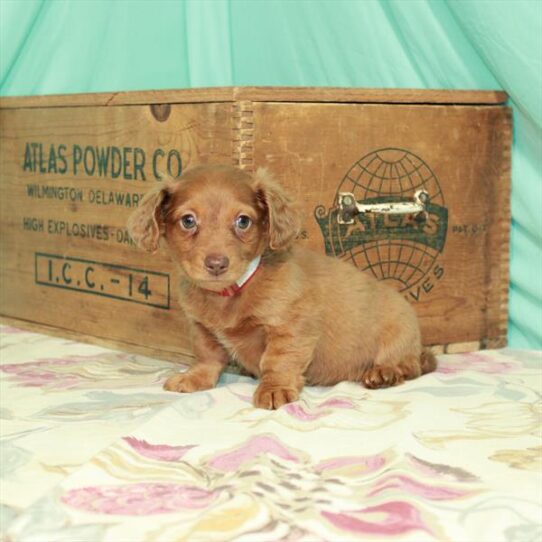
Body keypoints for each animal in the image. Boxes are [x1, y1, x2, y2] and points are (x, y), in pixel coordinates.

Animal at [129, 164, 438, 410]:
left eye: (243, 221)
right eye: (188, 221)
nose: (217, 264)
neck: (232, 293)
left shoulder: (291, 329)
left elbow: (277, 362)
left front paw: (274, 389)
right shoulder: (202, 329)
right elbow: (207, 356)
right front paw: (195, 378)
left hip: (399, 339)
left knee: (412, 366)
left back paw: (385, 373)